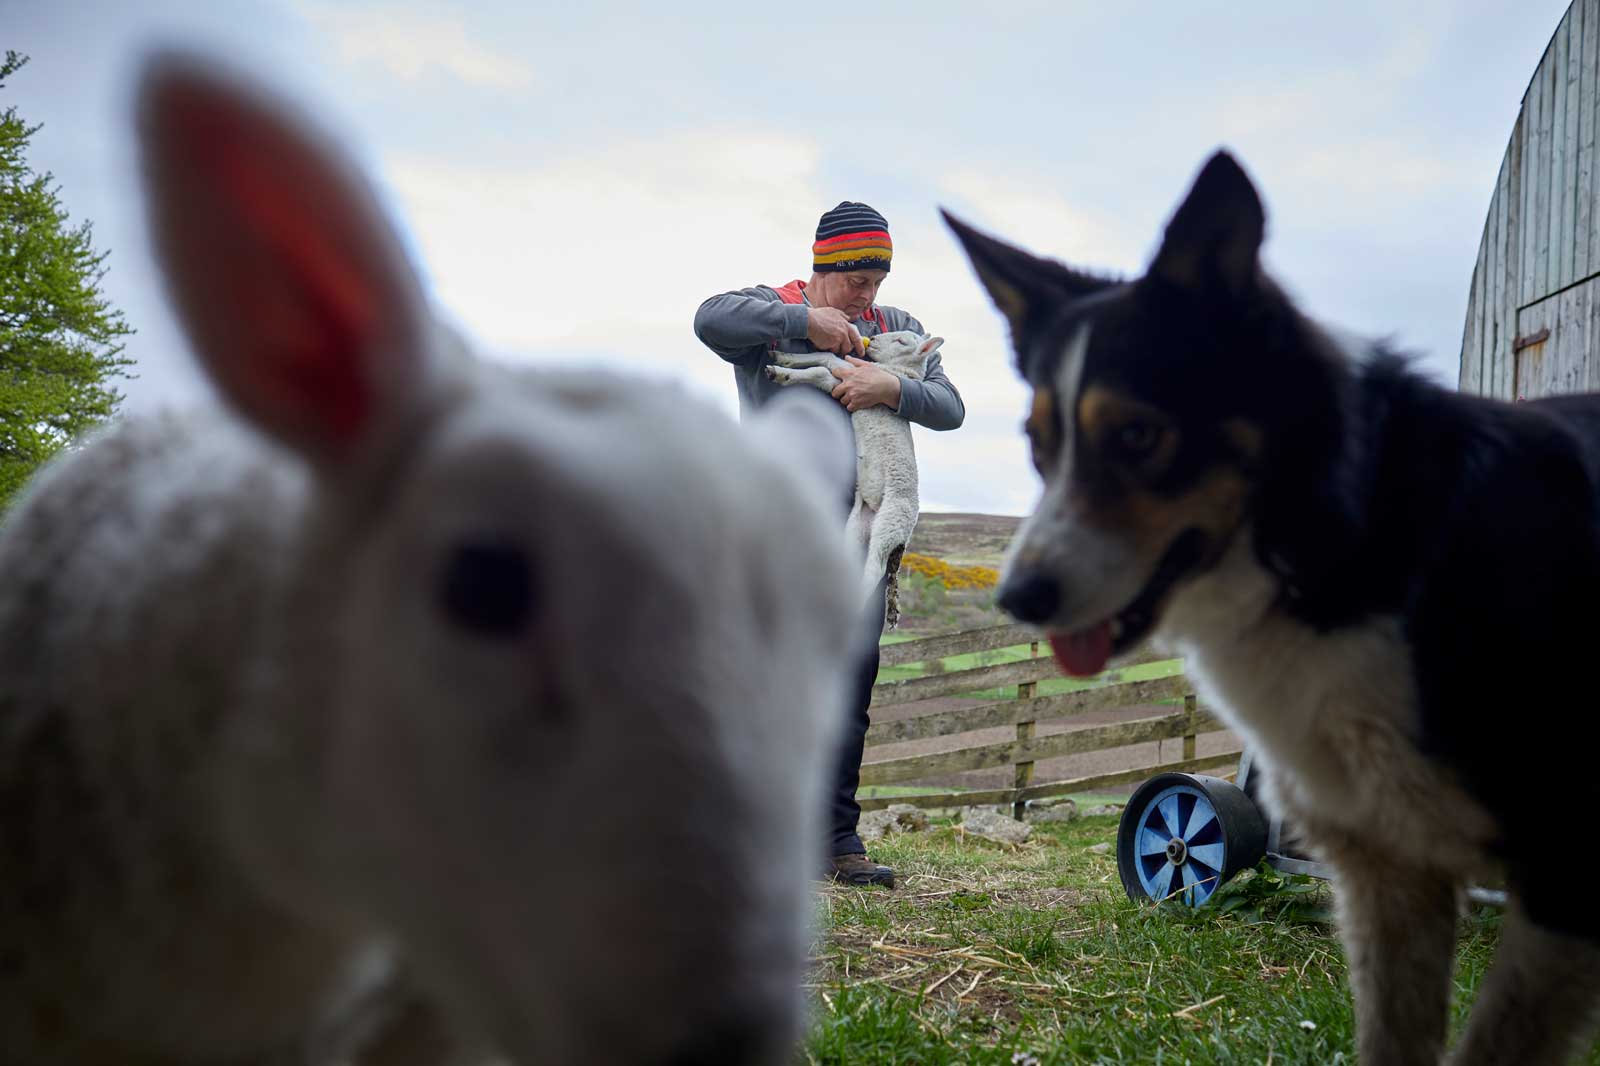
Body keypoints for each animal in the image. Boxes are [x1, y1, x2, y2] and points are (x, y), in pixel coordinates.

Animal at [764, 328, 940, 627]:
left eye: (902, 341)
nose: (874, 340)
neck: (897, 370)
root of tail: (904, 538)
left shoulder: (853, 379)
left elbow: (825, 365)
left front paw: (781, 372)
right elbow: (824, 358)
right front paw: (783, 358)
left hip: (891, 524)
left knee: (873, 571)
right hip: (858, 525)